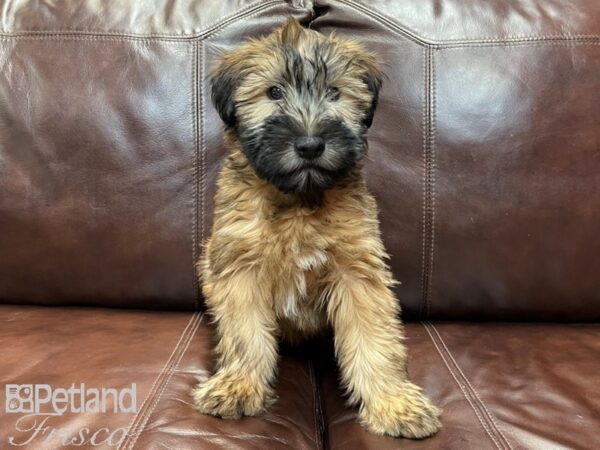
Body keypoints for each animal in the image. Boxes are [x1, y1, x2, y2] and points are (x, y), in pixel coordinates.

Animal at [192, 18, 440, 440]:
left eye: (334, 92)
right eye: (273, 92)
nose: (310, 145)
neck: (299, 200)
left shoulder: (357, 271)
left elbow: (375, 340)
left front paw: (393, 402)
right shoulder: (239, 266)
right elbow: (244, 335)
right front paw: (239, 385)